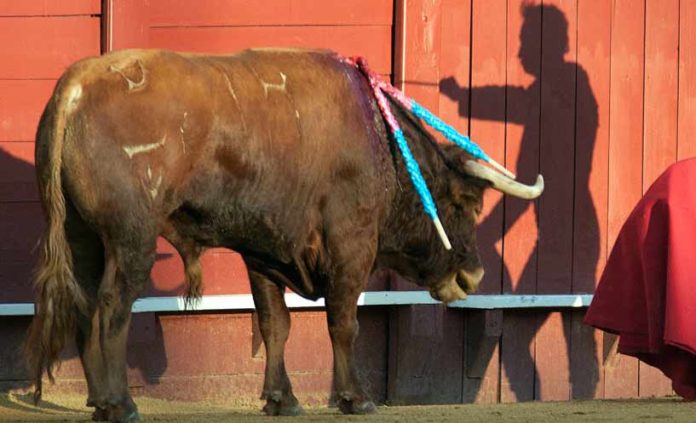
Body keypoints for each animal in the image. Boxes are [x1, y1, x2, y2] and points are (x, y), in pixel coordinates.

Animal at [24, 48, 544, 422]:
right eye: (468, 204)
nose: (474, 276)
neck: (381, 145)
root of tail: (78, 85)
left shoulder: (264, 250)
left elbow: (275, 323)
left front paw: (281, 399)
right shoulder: (352, 244)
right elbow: (344, 322)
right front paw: (356, 398)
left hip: (82, 235)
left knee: (84, 305)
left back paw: (98, 401)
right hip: (132, 238)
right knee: (114, 307)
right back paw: (121, 404)